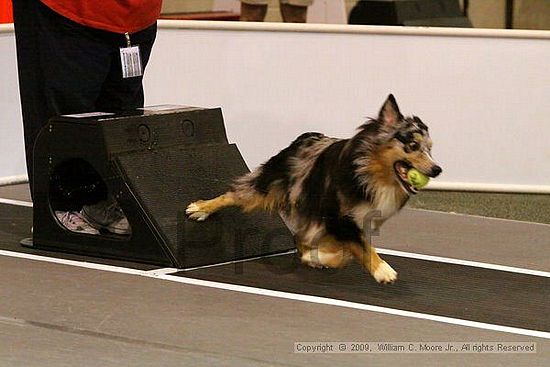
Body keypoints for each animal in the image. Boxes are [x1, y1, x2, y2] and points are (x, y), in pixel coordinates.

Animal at [188, 95, 442, 284]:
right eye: (413, 145)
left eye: (430, 149)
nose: (437, 169)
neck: (370, 172)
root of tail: (304, 137)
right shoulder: (338, 217)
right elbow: (358, 247)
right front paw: (382, 270)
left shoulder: (347, 222)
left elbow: (343, 251)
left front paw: (317, 257)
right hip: (270, 185)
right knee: (234, 194)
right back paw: (200, 208)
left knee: (300, 235)